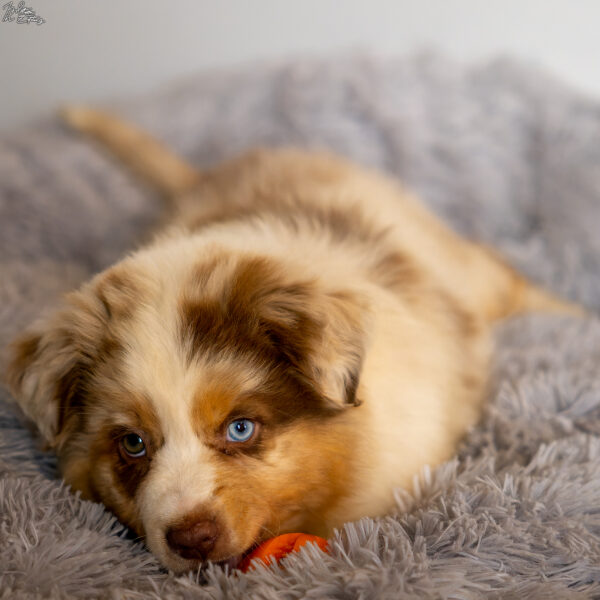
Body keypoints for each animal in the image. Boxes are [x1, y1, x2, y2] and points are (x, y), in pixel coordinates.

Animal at [2, 108, 580, 572]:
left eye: (240, 428)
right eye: (132, 443)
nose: (192, 539)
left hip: (468, 269)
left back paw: (575, 314)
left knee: (511, 280)